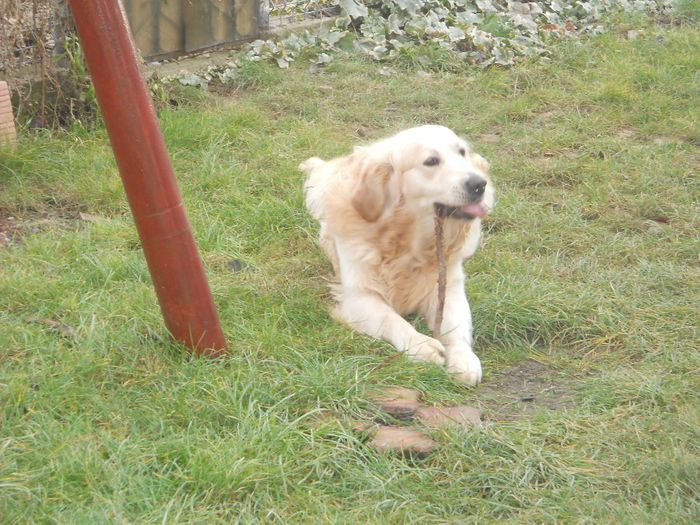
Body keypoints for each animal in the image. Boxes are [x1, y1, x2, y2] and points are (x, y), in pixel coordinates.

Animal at [300, 125, 492, 382]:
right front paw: (421, 344)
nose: (479, 184)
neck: (410, 243)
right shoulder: (360, 296)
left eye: (462, 152)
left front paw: (463, 358)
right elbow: (390, 319)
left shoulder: (449, 286)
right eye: (431, 161)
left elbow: (455, 325)